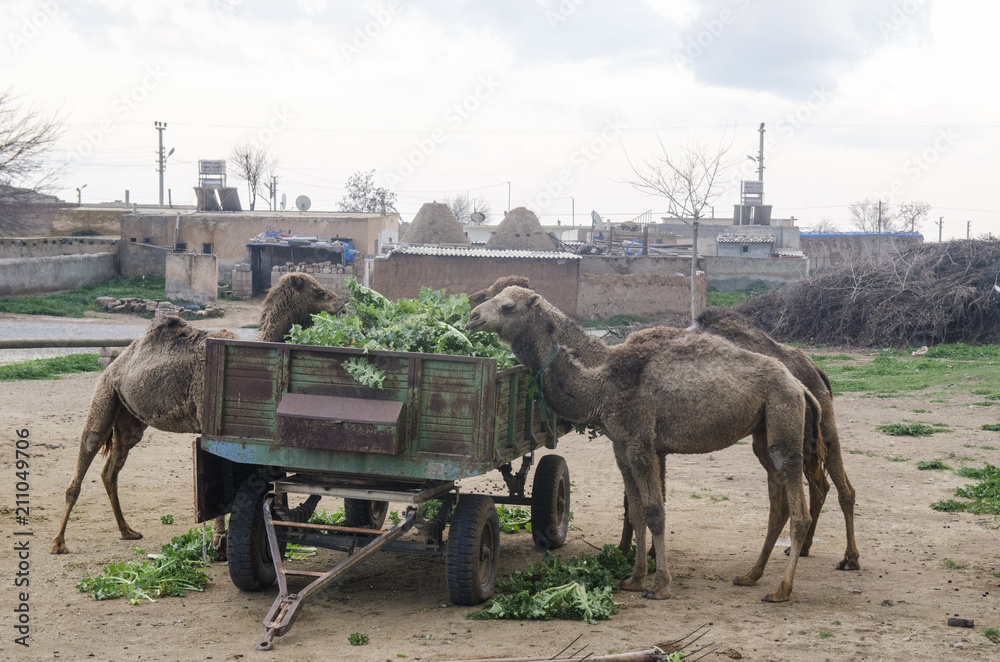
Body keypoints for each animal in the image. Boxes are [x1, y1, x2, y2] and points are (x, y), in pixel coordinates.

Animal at [51, 273, 344, 555]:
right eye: (319, 292)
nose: (342, 304)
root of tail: (114, 366)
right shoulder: (210, 425)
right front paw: (219, 543)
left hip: (129, 419)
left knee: (110, 470)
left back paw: (127, 531)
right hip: (104, 396)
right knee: (88, 448)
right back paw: (59, 542)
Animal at [470, 276, 858, 572]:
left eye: (507, 305)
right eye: (490, 294)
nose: (472, 315)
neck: (603, 374)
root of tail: (811, 371)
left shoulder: (643, 441)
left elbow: (645, 504)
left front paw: (643, 561)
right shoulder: (652, 446)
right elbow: (638, 503)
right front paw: (636, 556)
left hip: (812, 423)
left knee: (840, 487)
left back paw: (846, 559)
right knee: (817, 484)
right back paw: (796, 552)